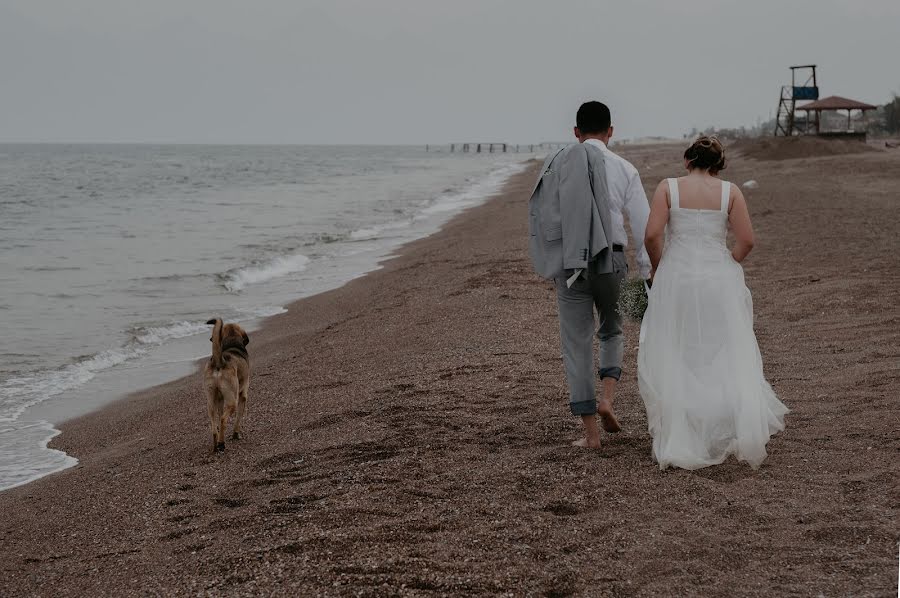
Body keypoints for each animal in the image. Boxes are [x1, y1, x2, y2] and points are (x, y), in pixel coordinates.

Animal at [202, 322, 248, 452]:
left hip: (210, 401)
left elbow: (220, 413)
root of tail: (219, 361)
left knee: (214, 424)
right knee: (223, 420)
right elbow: (238, 418)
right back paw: (221, 443)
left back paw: (216, 445)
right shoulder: (243, 395)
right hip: (233, 400)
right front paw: (236, 434)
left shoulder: (220, 399)